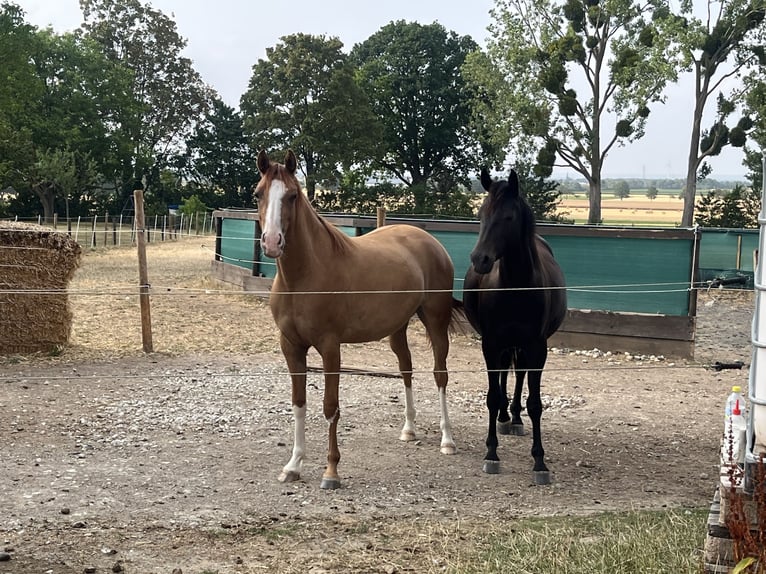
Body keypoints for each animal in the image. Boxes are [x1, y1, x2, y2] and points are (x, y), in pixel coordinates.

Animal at [255, 149, 464, 490]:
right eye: (258, 194)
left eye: (292, 195)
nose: (272, 242)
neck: (303, 277)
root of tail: (430, 241)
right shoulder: (291, 347)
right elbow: (299, 404)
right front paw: (293, 466)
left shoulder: (330, 348)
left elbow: (330, 407)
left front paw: (331, 472)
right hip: (398, 329)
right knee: (406, 369)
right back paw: (409, 429)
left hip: (435, 321)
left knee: (440, 375)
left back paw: (448, 440)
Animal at [463, 167, 567, 485]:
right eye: (481, 214)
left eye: (508, 217)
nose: (480, 259)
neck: (515, 286)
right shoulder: (490, 343)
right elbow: (492, 396)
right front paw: (491, 453)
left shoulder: (537, 347)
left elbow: (535, 403)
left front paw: (540, 462)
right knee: (503, 374)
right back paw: (504, 418)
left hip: (522, 346)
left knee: (518, 374)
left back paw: (516, 418)